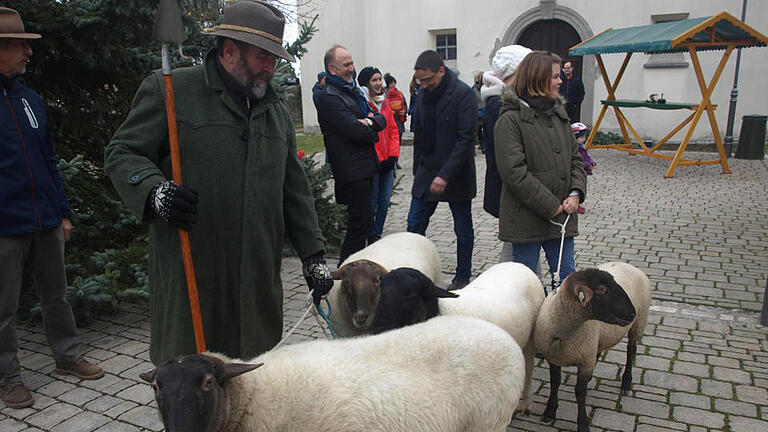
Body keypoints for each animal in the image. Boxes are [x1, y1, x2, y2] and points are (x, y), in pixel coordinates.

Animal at [372, 262, 544, 414]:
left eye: (410, 293)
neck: (442, 310)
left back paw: (525, 404)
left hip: (531, 338)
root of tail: (520, 265)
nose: (378, 326)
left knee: (529, 367)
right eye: (381, 287)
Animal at [536, 262, 648, 432]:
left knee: (631, 350)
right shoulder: (554, 358)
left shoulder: (585, 362)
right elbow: (555, 382)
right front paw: (550, 411)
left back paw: (626, 382)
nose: (631, 313)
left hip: (639, 323)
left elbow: (580, 393)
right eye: (601, 289)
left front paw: (582, 424)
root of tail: (629, 265)